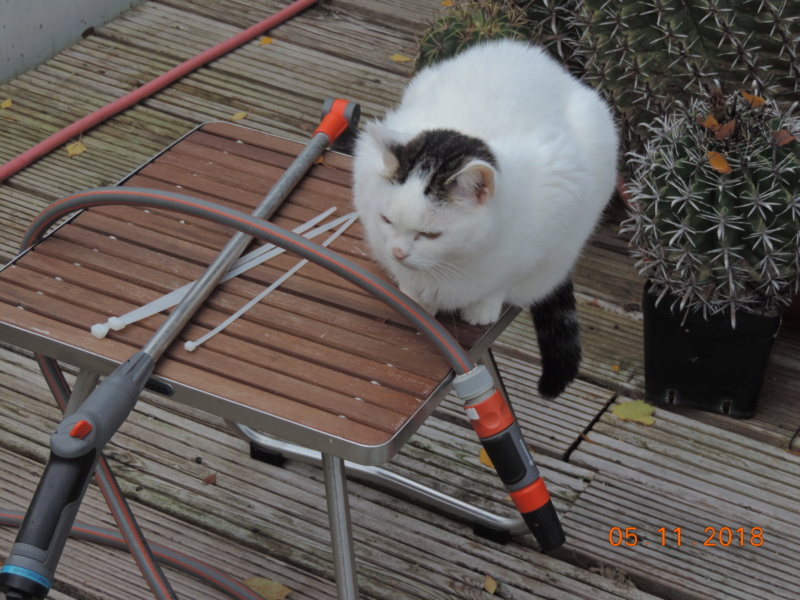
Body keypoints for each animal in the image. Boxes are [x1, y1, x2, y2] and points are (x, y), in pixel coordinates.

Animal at [352, 42, 620, 398]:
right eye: (386, 220)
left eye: (431, 235)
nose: (397, 252)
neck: (452, 263)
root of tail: (539, 57)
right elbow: (409, 284)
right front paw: (413, 299)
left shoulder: (555, 215)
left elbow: (504, 279)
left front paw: (483, 305)